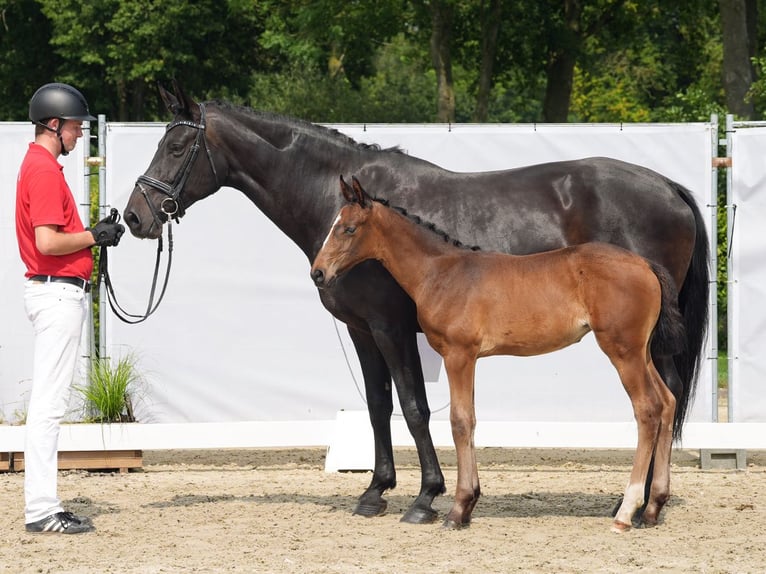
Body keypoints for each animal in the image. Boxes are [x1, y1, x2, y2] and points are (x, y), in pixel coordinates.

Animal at [123, 83, 712, 528]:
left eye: (176, 146)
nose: (134, 217)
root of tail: (670, 186)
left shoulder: (390, 327)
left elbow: (413, 406)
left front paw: (427, 496)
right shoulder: (362, 330)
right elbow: (378, 405)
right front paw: (375, 491)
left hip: (639, 342)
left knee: (658, 401)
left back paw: (637, 504)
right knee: (665, 400)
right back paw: (647, 503)